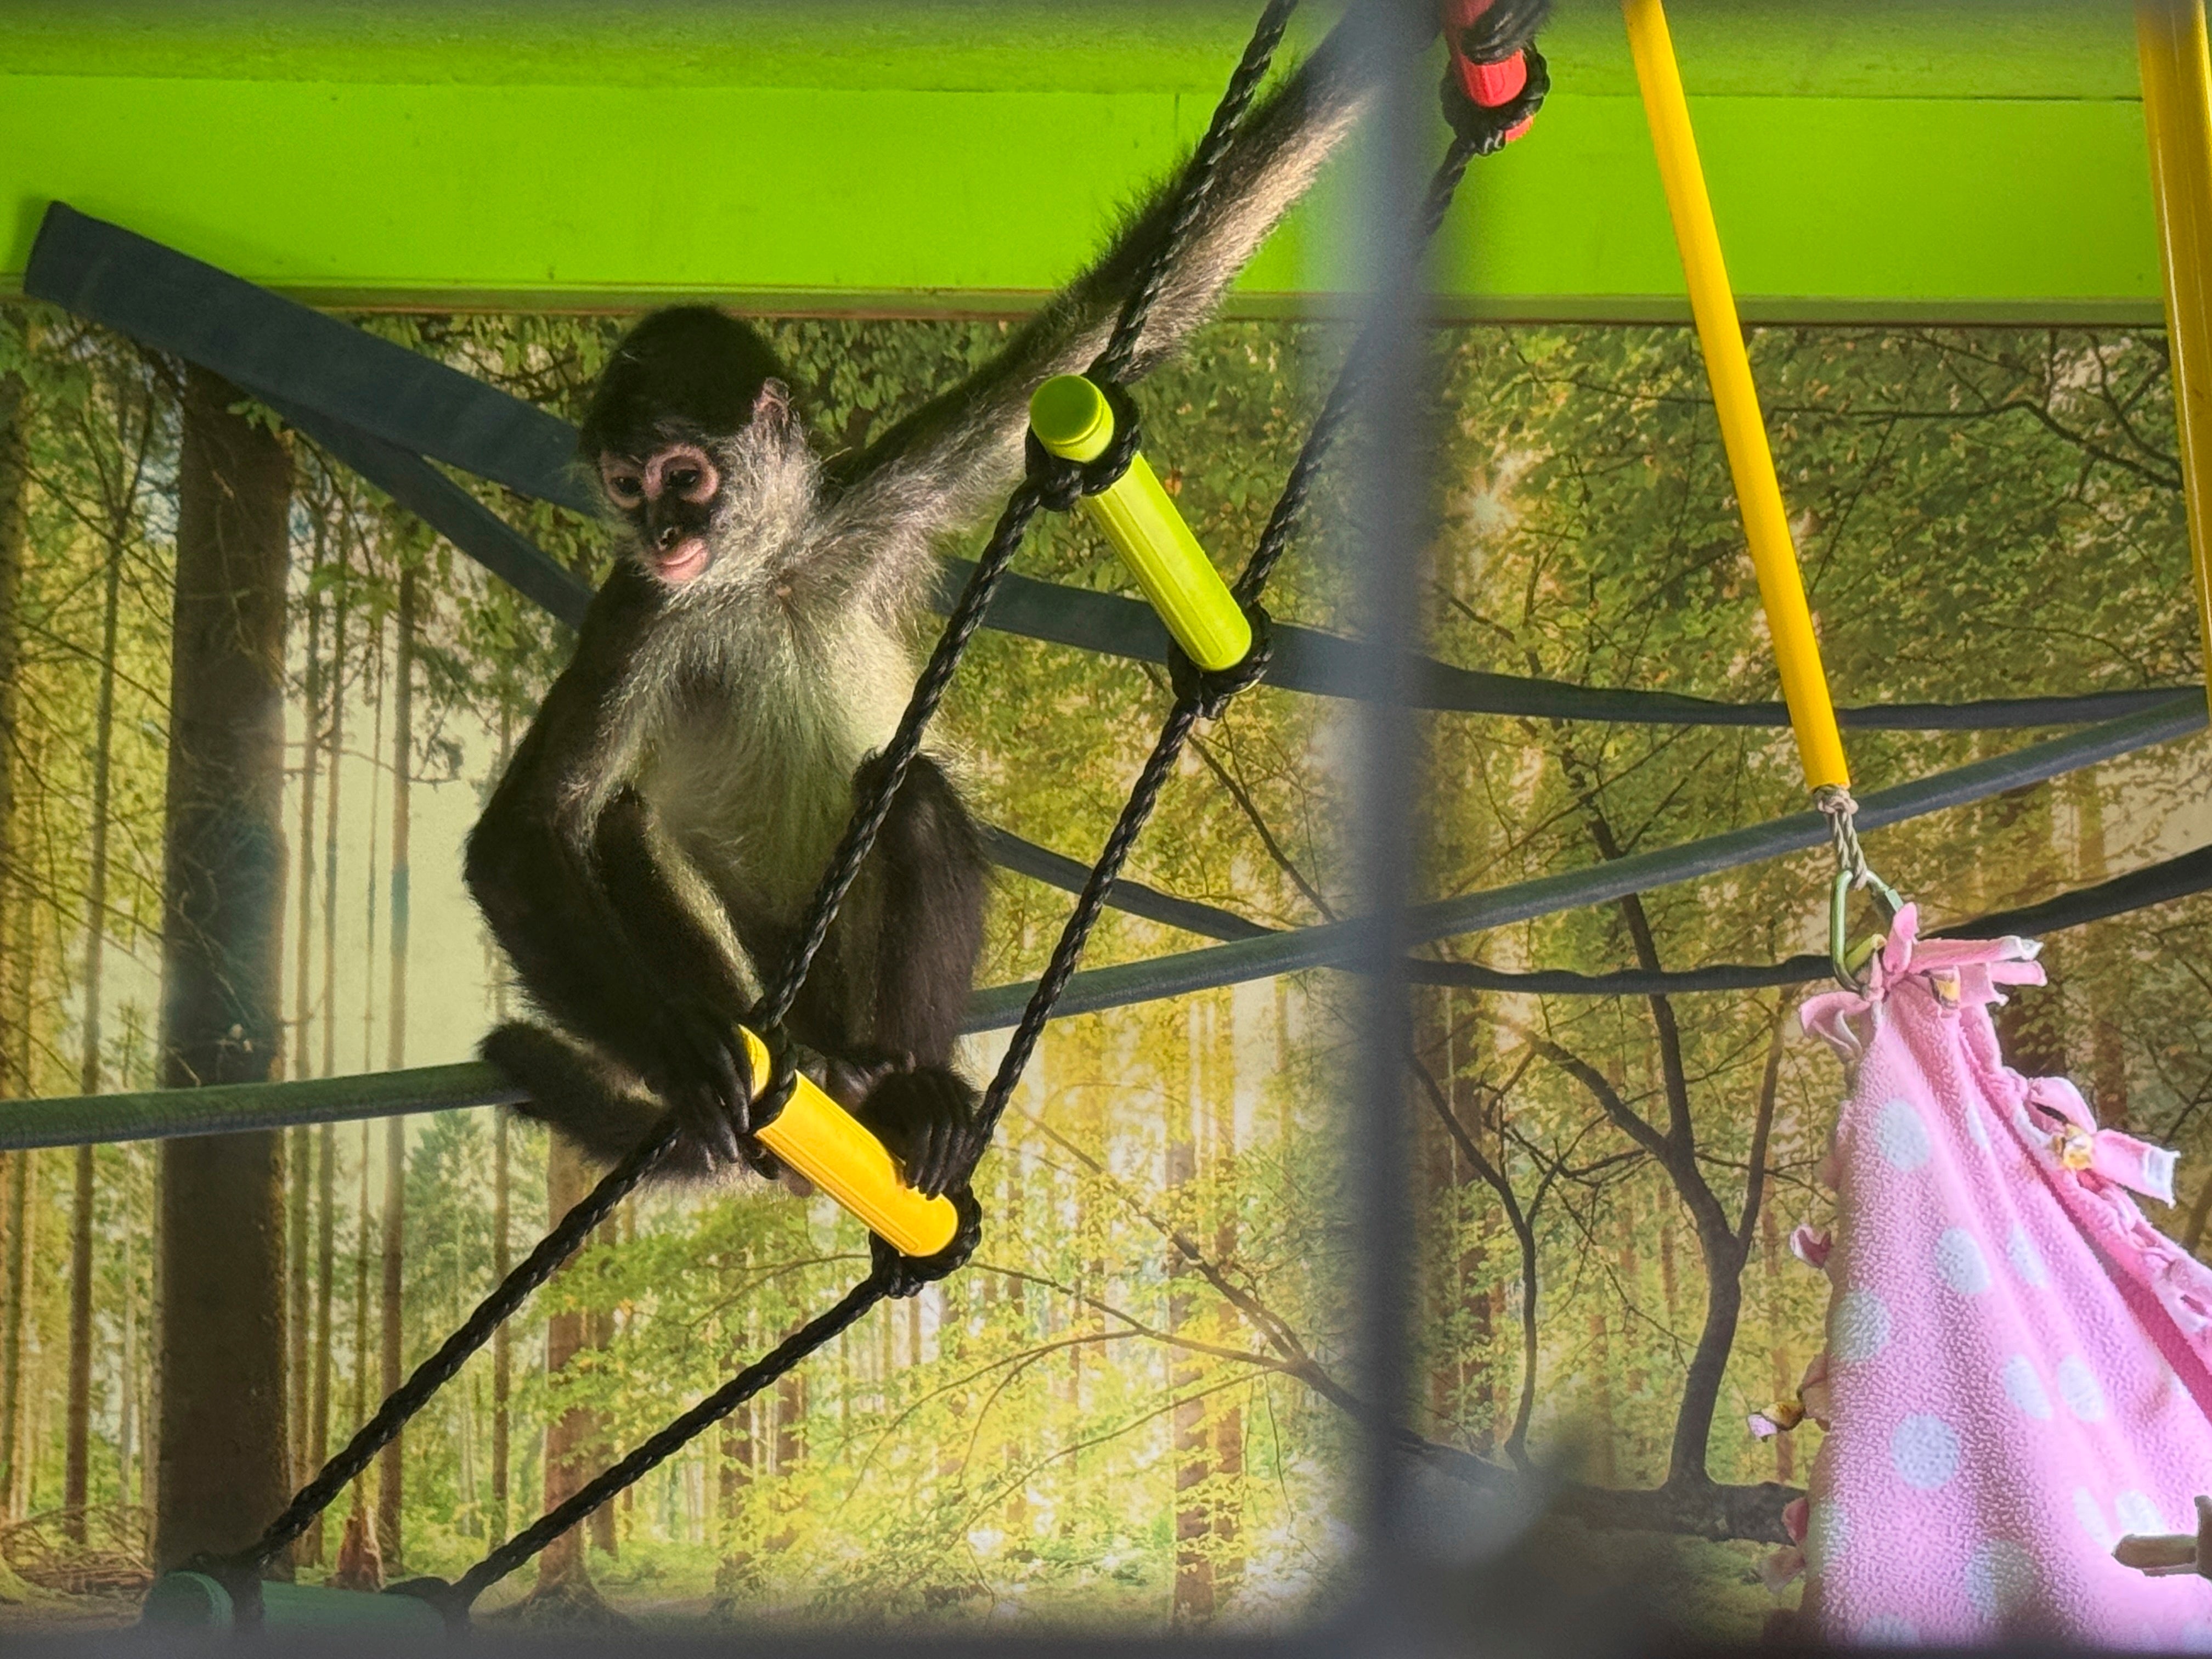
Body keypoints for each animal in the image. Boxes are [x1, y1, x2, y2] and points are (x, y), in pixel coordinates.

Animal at [464, 20, 1381, 1205]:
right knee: (636, 817)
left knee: (907, 793)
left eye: (683, 478)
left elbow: (1094, 335)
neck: (769, 571)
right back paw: (818, 1082)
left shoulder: (872, 502)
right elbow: (521, 840)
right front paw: (683, 1057)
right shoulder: (641, 613)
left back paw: (906, 1079)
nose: (663, 535)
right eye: (626, 489)